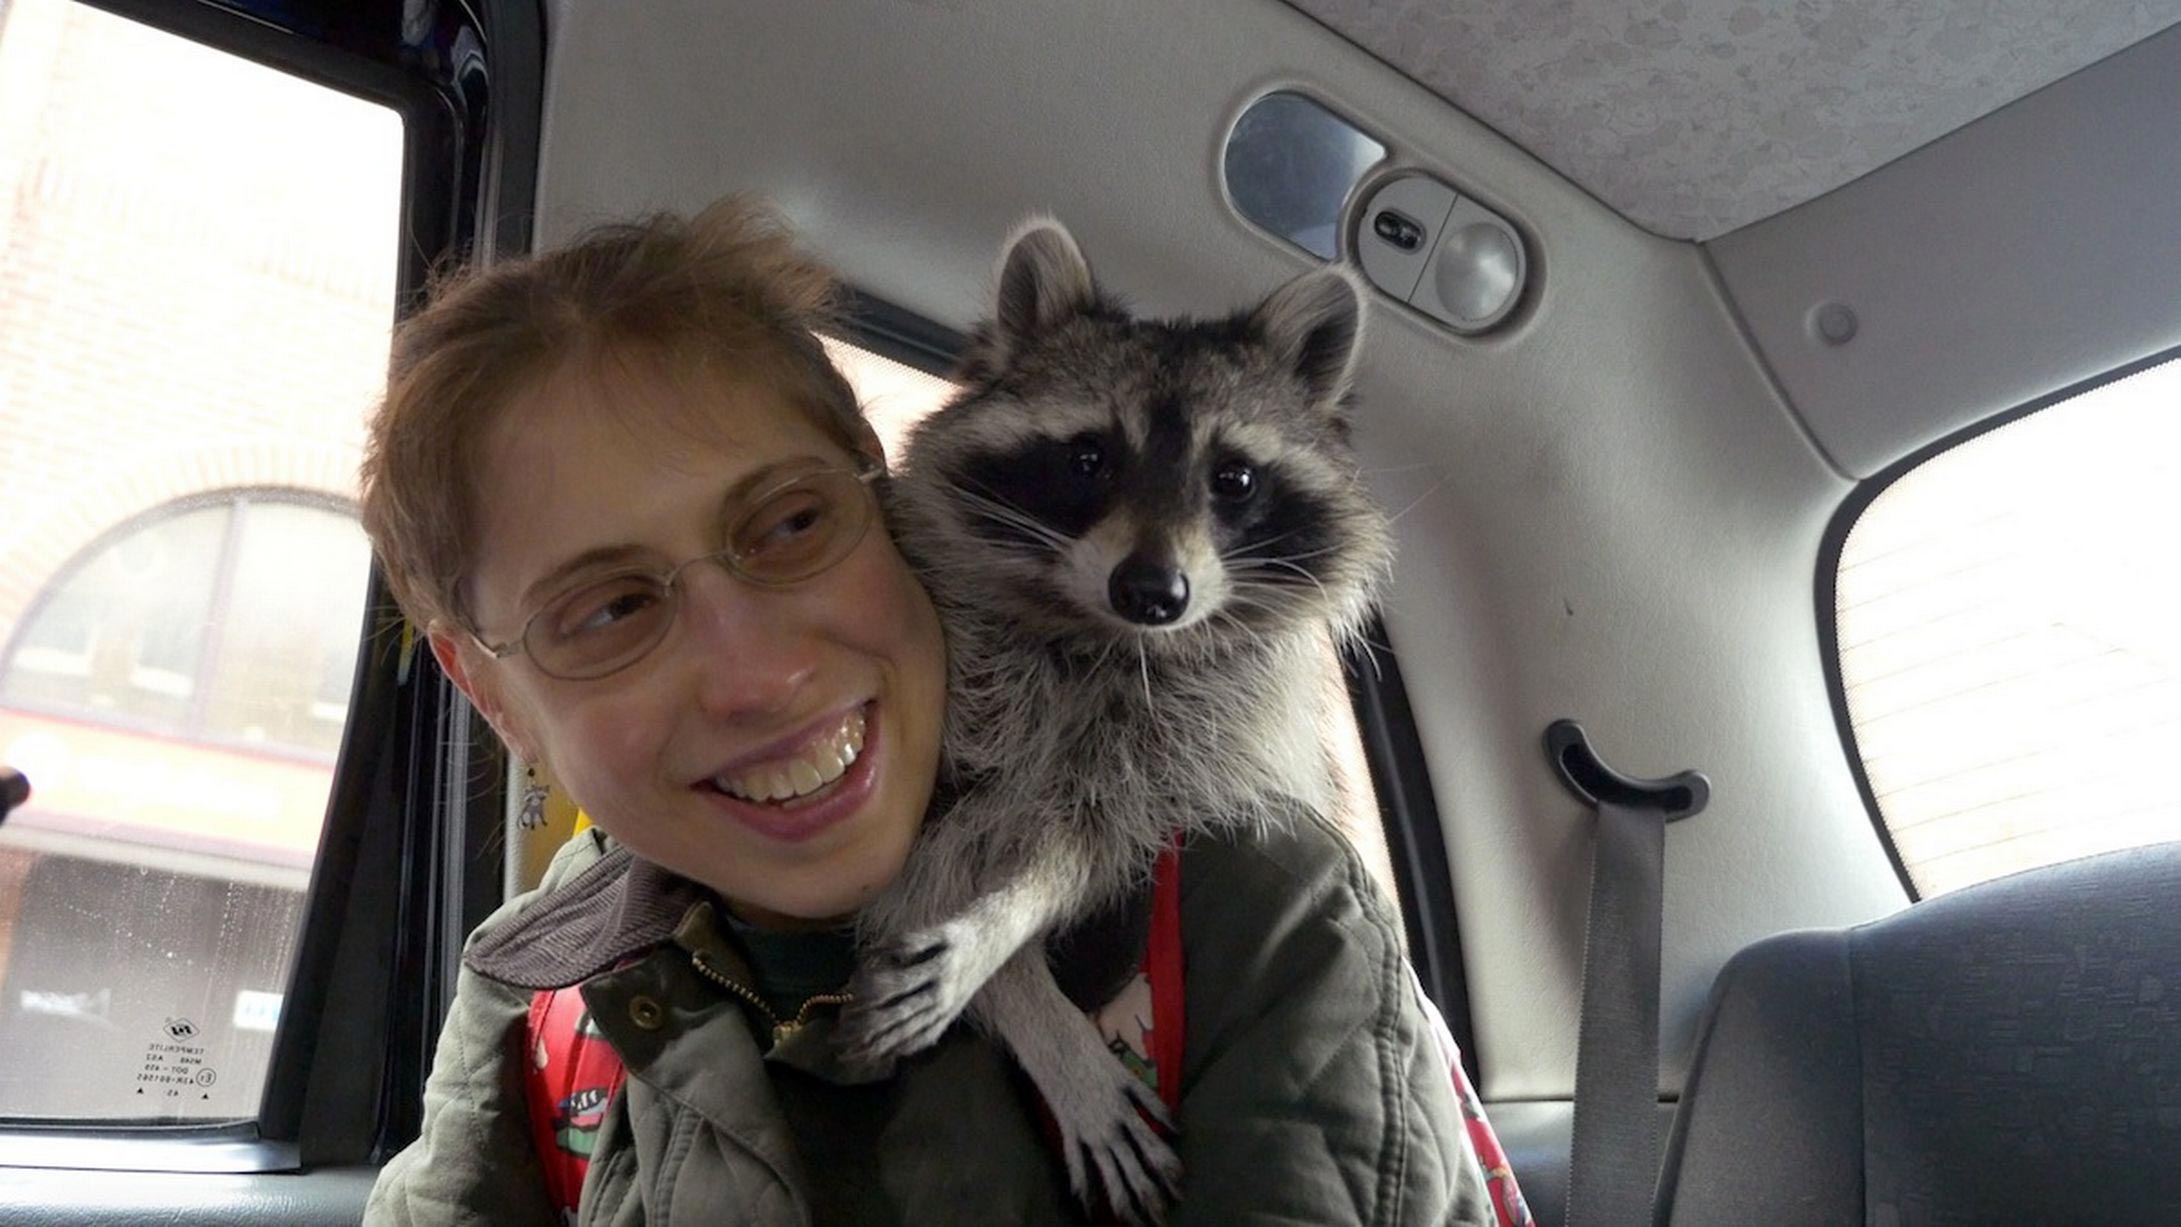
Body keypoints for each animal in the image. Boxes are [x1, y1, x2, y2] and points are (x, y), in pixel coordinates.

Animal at [837, 221, 1392, 1223]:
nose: (1152, 591)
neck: (1101, 637)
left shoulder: (1192, 742)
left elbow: (1086, 843)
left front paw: (1004, 924)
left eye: (1233, 477)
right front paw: (1031, 1005)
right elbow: (909, 867)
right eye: (1090, 457)